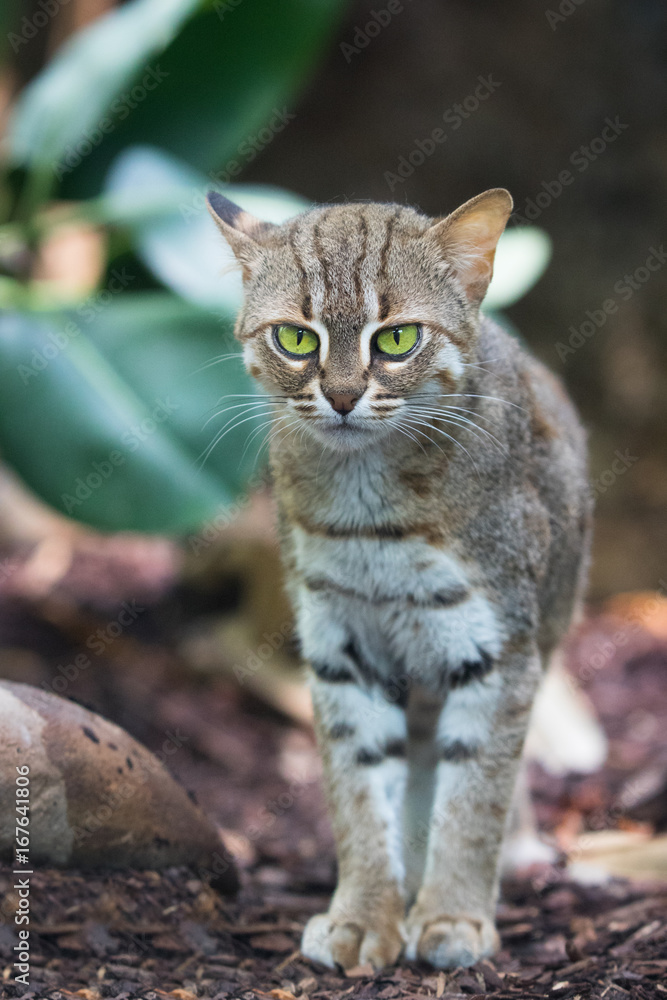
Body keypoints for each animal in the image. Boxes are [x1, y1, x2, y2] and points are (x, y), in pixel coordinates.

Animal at [207, 189, 588, 968]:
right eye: (295, 340)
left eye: (396, 340)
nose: (342, 397)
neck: (367, 509)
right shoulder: (339, 644)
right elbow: (357, 790)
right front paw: (363, 915)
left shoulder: (498, 648)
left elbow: (475, 793)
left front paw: (453, 915)